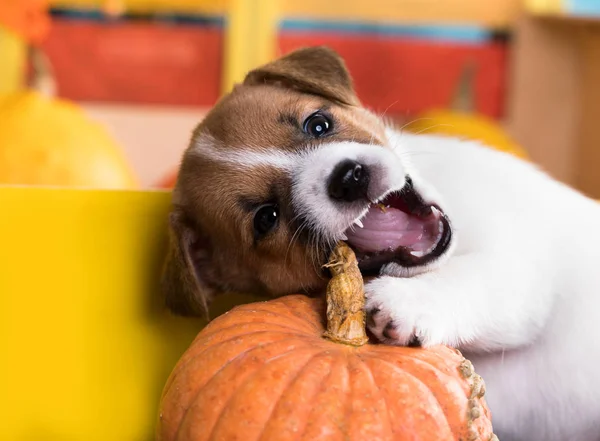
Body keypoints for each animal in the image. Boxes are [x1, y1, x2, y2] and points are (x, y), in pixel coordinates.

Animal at [162, 46, 600, 438]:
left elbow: (474, 274)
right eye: (266, 218)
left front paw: (407, 300)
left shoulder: (521, 268)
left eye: (317, 124)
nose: (349, 177)